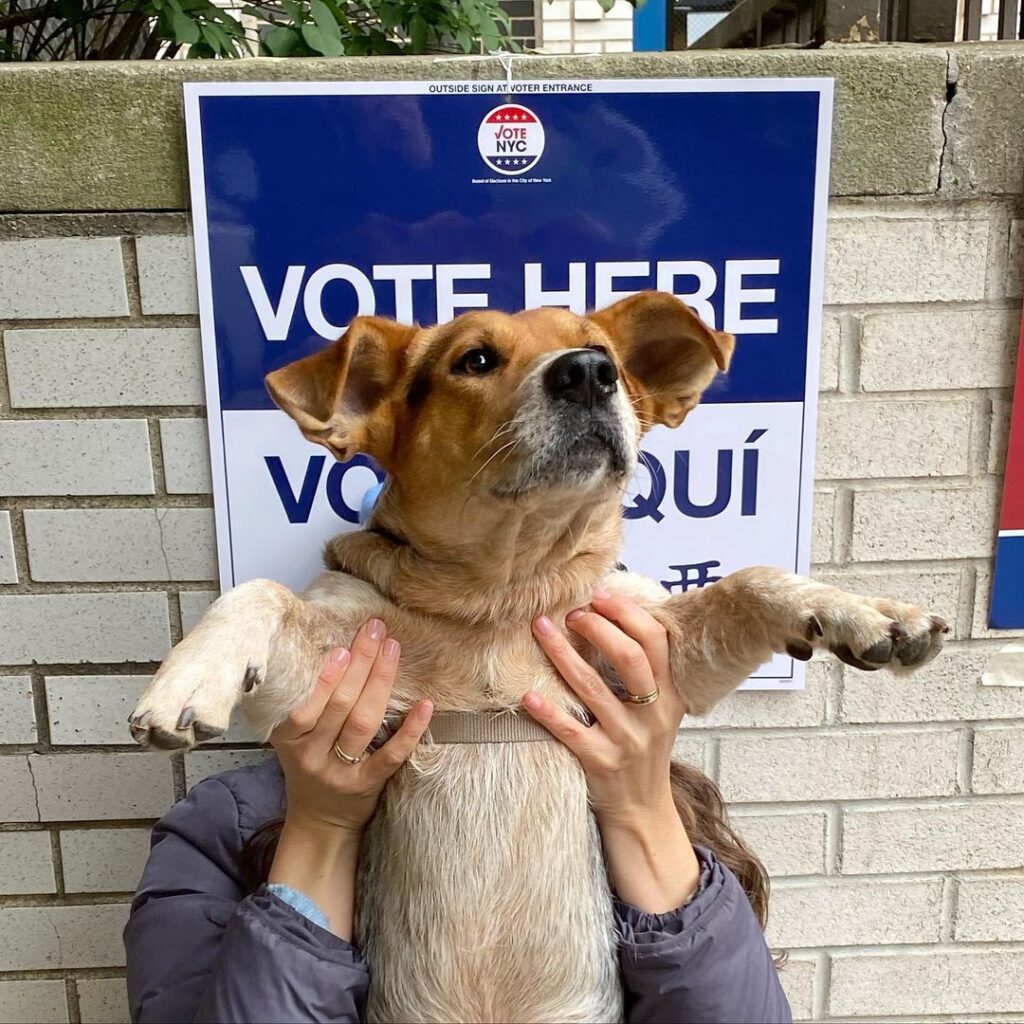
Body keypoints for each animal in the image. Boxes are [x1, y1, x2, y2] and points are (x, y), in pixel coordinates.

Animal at [132, 292, 946, 1019]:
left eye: (603, 350)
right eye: (475, 359)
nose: (589, 372)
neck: (504, 594)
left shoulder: (671, 646)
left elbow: (753, 578)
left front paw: (869, 612)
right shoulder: (331, 662)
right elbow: (258, 591)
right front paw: (186, 679)